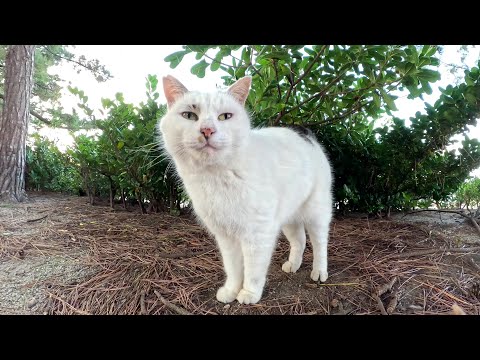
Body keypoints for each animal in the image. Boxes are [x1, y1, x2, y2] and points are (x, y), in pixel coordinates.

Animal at [159, 75, 332, 304]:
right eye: (189, 115)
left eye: (225, 116)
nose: (207, 130)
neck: (216, 177)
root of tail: (303, 131)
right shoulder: (225, 235)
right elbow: (233, 267)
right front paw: (231, 290)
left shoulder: (258, 233)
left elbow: (253, 269)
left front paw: (250, 293)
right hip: (288, 216)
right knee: (300, 241)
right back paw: (292, 265)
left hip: (316, 212)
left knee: (320, 243)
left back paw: (319, 272)